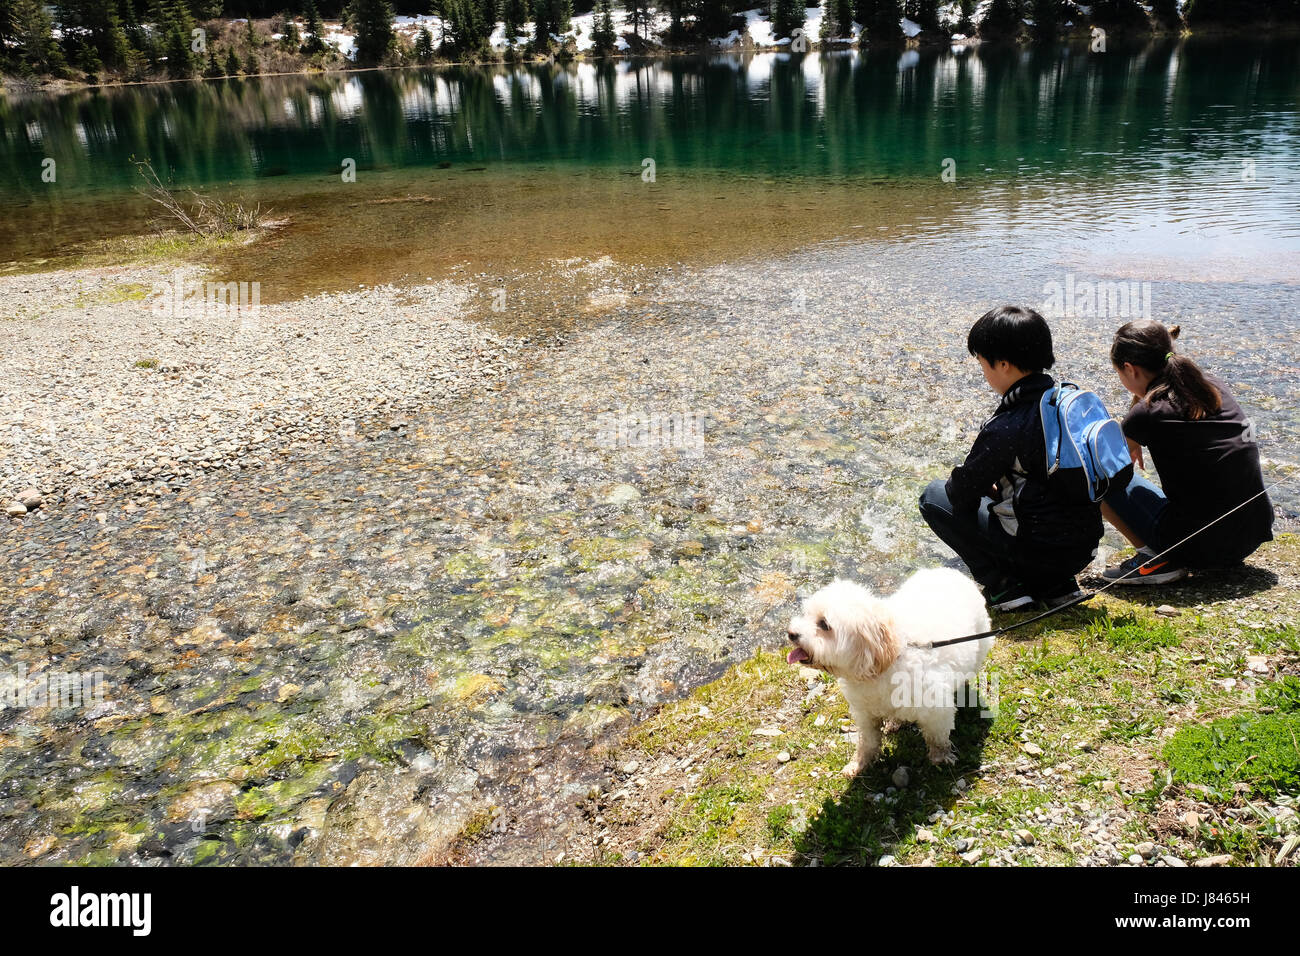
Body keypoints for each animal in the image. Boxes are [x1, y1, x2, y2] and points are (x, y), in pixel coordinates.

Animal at [780, 567, 993, 780]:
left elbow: (937, 737)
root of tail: (948, 570)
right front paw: (859, 764)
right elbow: (867, 742)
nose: (791, 633)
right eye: (806, 614)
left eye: (824, 624)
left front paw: (940, 758)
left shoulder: (936, 710)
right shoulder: (865, 713)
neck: (885, 661)